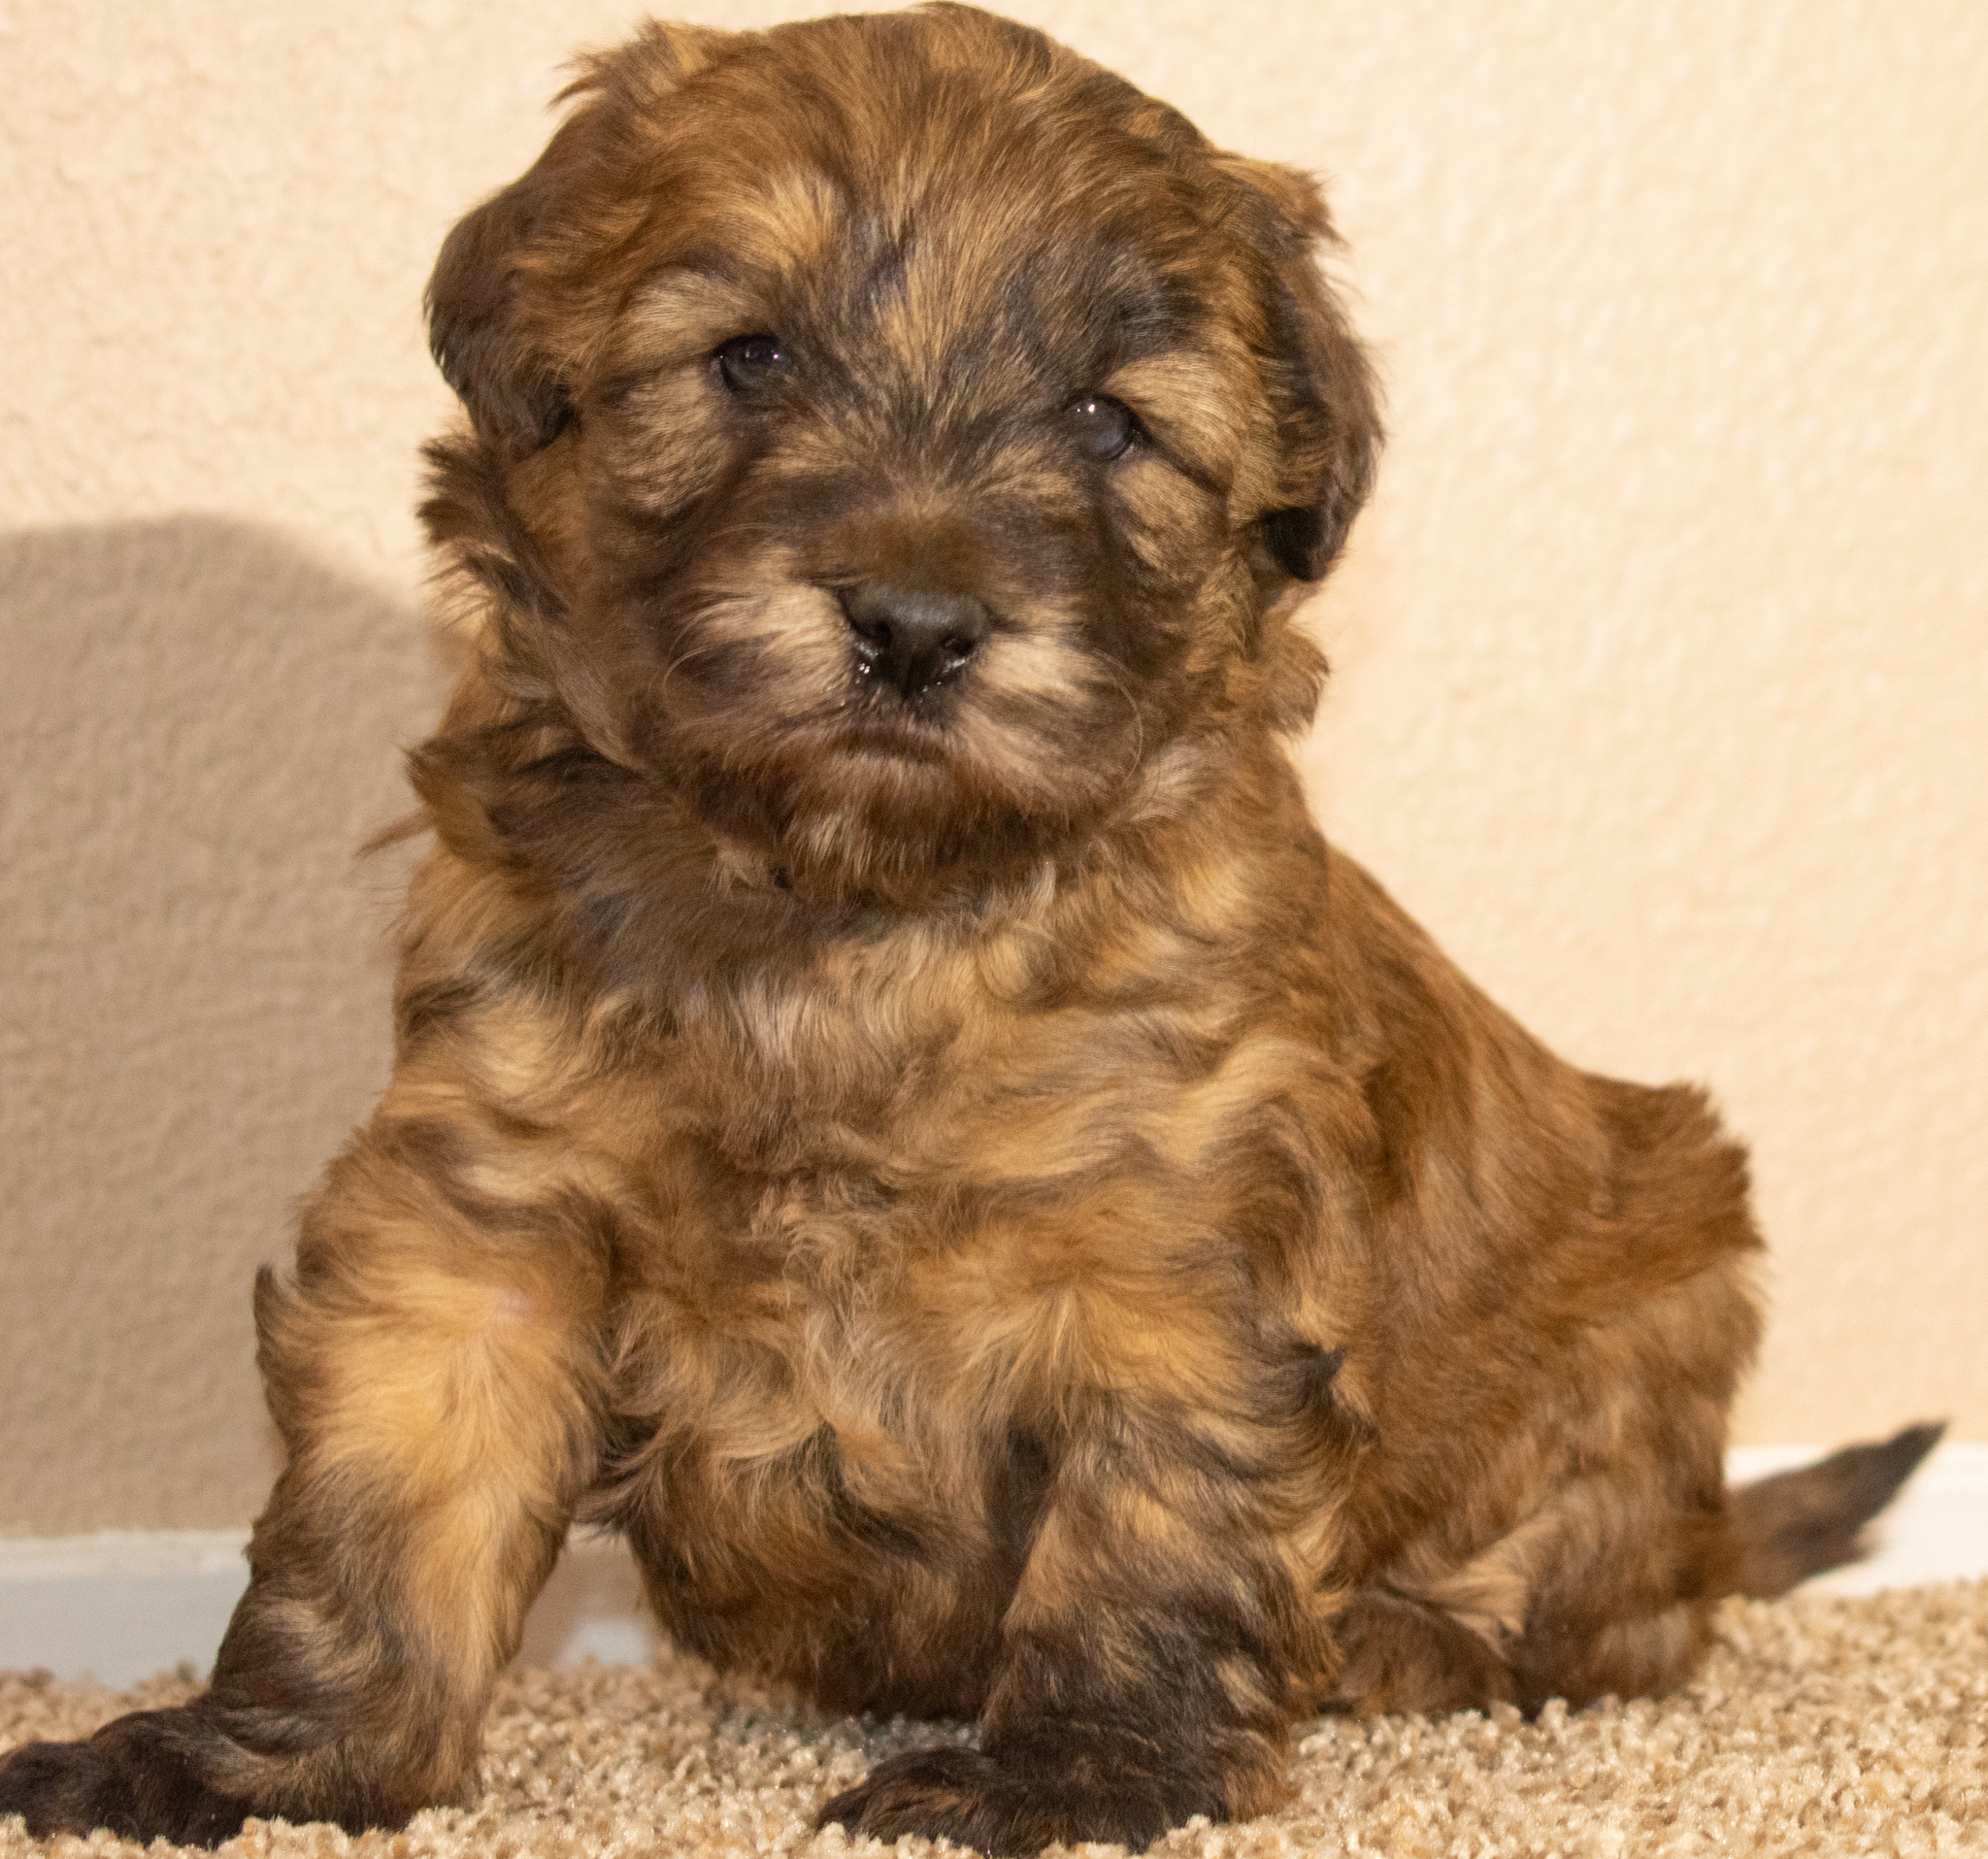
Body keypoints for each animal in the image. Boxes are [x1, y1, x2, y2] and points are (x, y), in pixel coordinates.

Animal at [0, 7, 1932, 1852]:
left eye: (1104, 421)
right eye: (750, 356)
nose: (916, 627)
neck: (849, 923)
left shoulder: (1174, 1248)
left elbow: (1147, 1531)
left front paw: (1074, 1773)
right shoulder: (480, 1211)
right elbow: (379, 1522)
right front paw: (257, 1762)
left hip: (1656, 1302)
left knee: (1615, 1615)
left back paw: (1403, 1637)